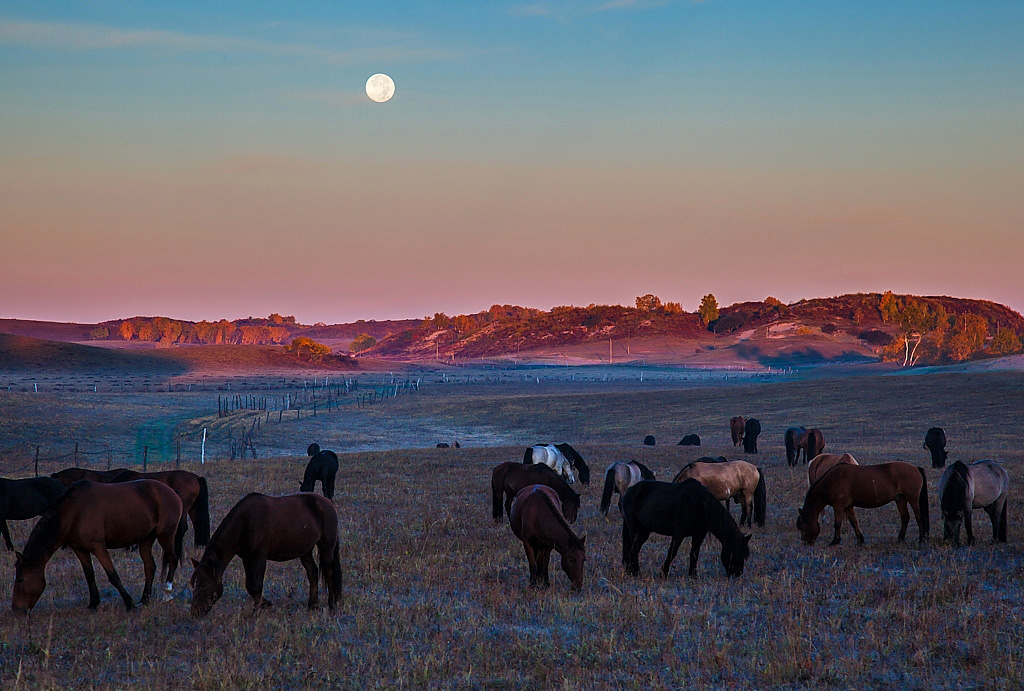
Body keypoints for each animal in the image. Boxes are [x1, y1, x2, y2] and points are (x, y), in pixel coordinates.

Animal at [11, 481, 184, 618]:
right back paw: (145, 599)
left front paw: (129, 603)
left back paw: (167, 593)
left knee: (173, 559)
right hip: (146, 540)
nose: (17, 610)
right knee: (150, 567)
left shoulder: (99, 548)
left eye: (20, 579)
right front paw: (93, 603)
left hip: (165, 535)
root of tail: (172, 492)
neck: (73, 513)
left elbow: (113, 576)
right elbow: (89, 575)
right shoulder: (80, 549)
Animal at [188, 491, 339, 618]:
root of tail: (328, 503)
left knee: (330, 572)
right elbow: (250, 585)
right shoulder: (247, 558)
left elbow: (256, 585)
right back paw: (312, 605)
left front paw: (258, 611)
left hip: (326, 546)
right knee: (312, 572)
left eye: (203, 585)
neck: (245, 522)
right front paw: (265, 605)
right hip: (306, 550)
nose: (195, 612)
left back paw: (332, 604)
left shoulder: (259, 557)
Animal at [614, 481, 753, 577]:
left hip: (644, 530)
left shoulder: (699, 534)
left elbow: (694, 553)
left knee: (633, 548)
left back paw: (630, 570)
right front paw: (663, 573)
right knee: (634, 548)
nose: (737, 574)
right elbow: (672, 553)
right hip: (635, 529)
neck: (700, 506)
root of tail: (630, 491)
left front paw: (693, 575)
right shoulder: (678, 534)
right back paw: (636, 573)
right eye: (736, 551)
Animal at [794, 462, 933, 548]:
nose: (805, 543)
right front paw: (860, 540)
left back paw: (921, 539)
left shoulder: (838, 506)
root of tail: (916, 468)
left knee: (919, 517)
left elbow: (837, 523)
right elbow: (854, 522)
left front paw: (835, 541)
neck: (831, 480)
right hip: (900, 499)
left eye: (802, 526)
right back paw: (900, 539)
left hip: (913, 499)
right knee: (905, 518)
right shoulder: (848, 507)